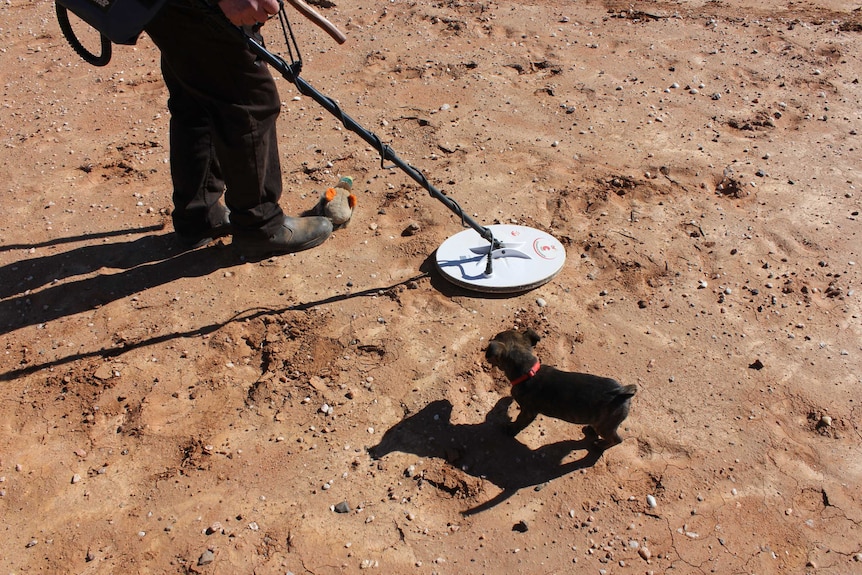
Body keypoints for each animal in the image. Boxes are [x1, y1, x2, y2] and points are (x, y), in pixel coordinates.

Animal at [490, 328, 636, 450]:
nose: (486, 350)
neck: (529, 371)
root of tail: (622, 392)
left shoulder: (528, 412)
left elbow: (519, 422)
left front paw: (511, 429)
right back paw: (591, 430)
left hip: (606, 426)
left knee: (617, 439)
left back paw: (600, 446)